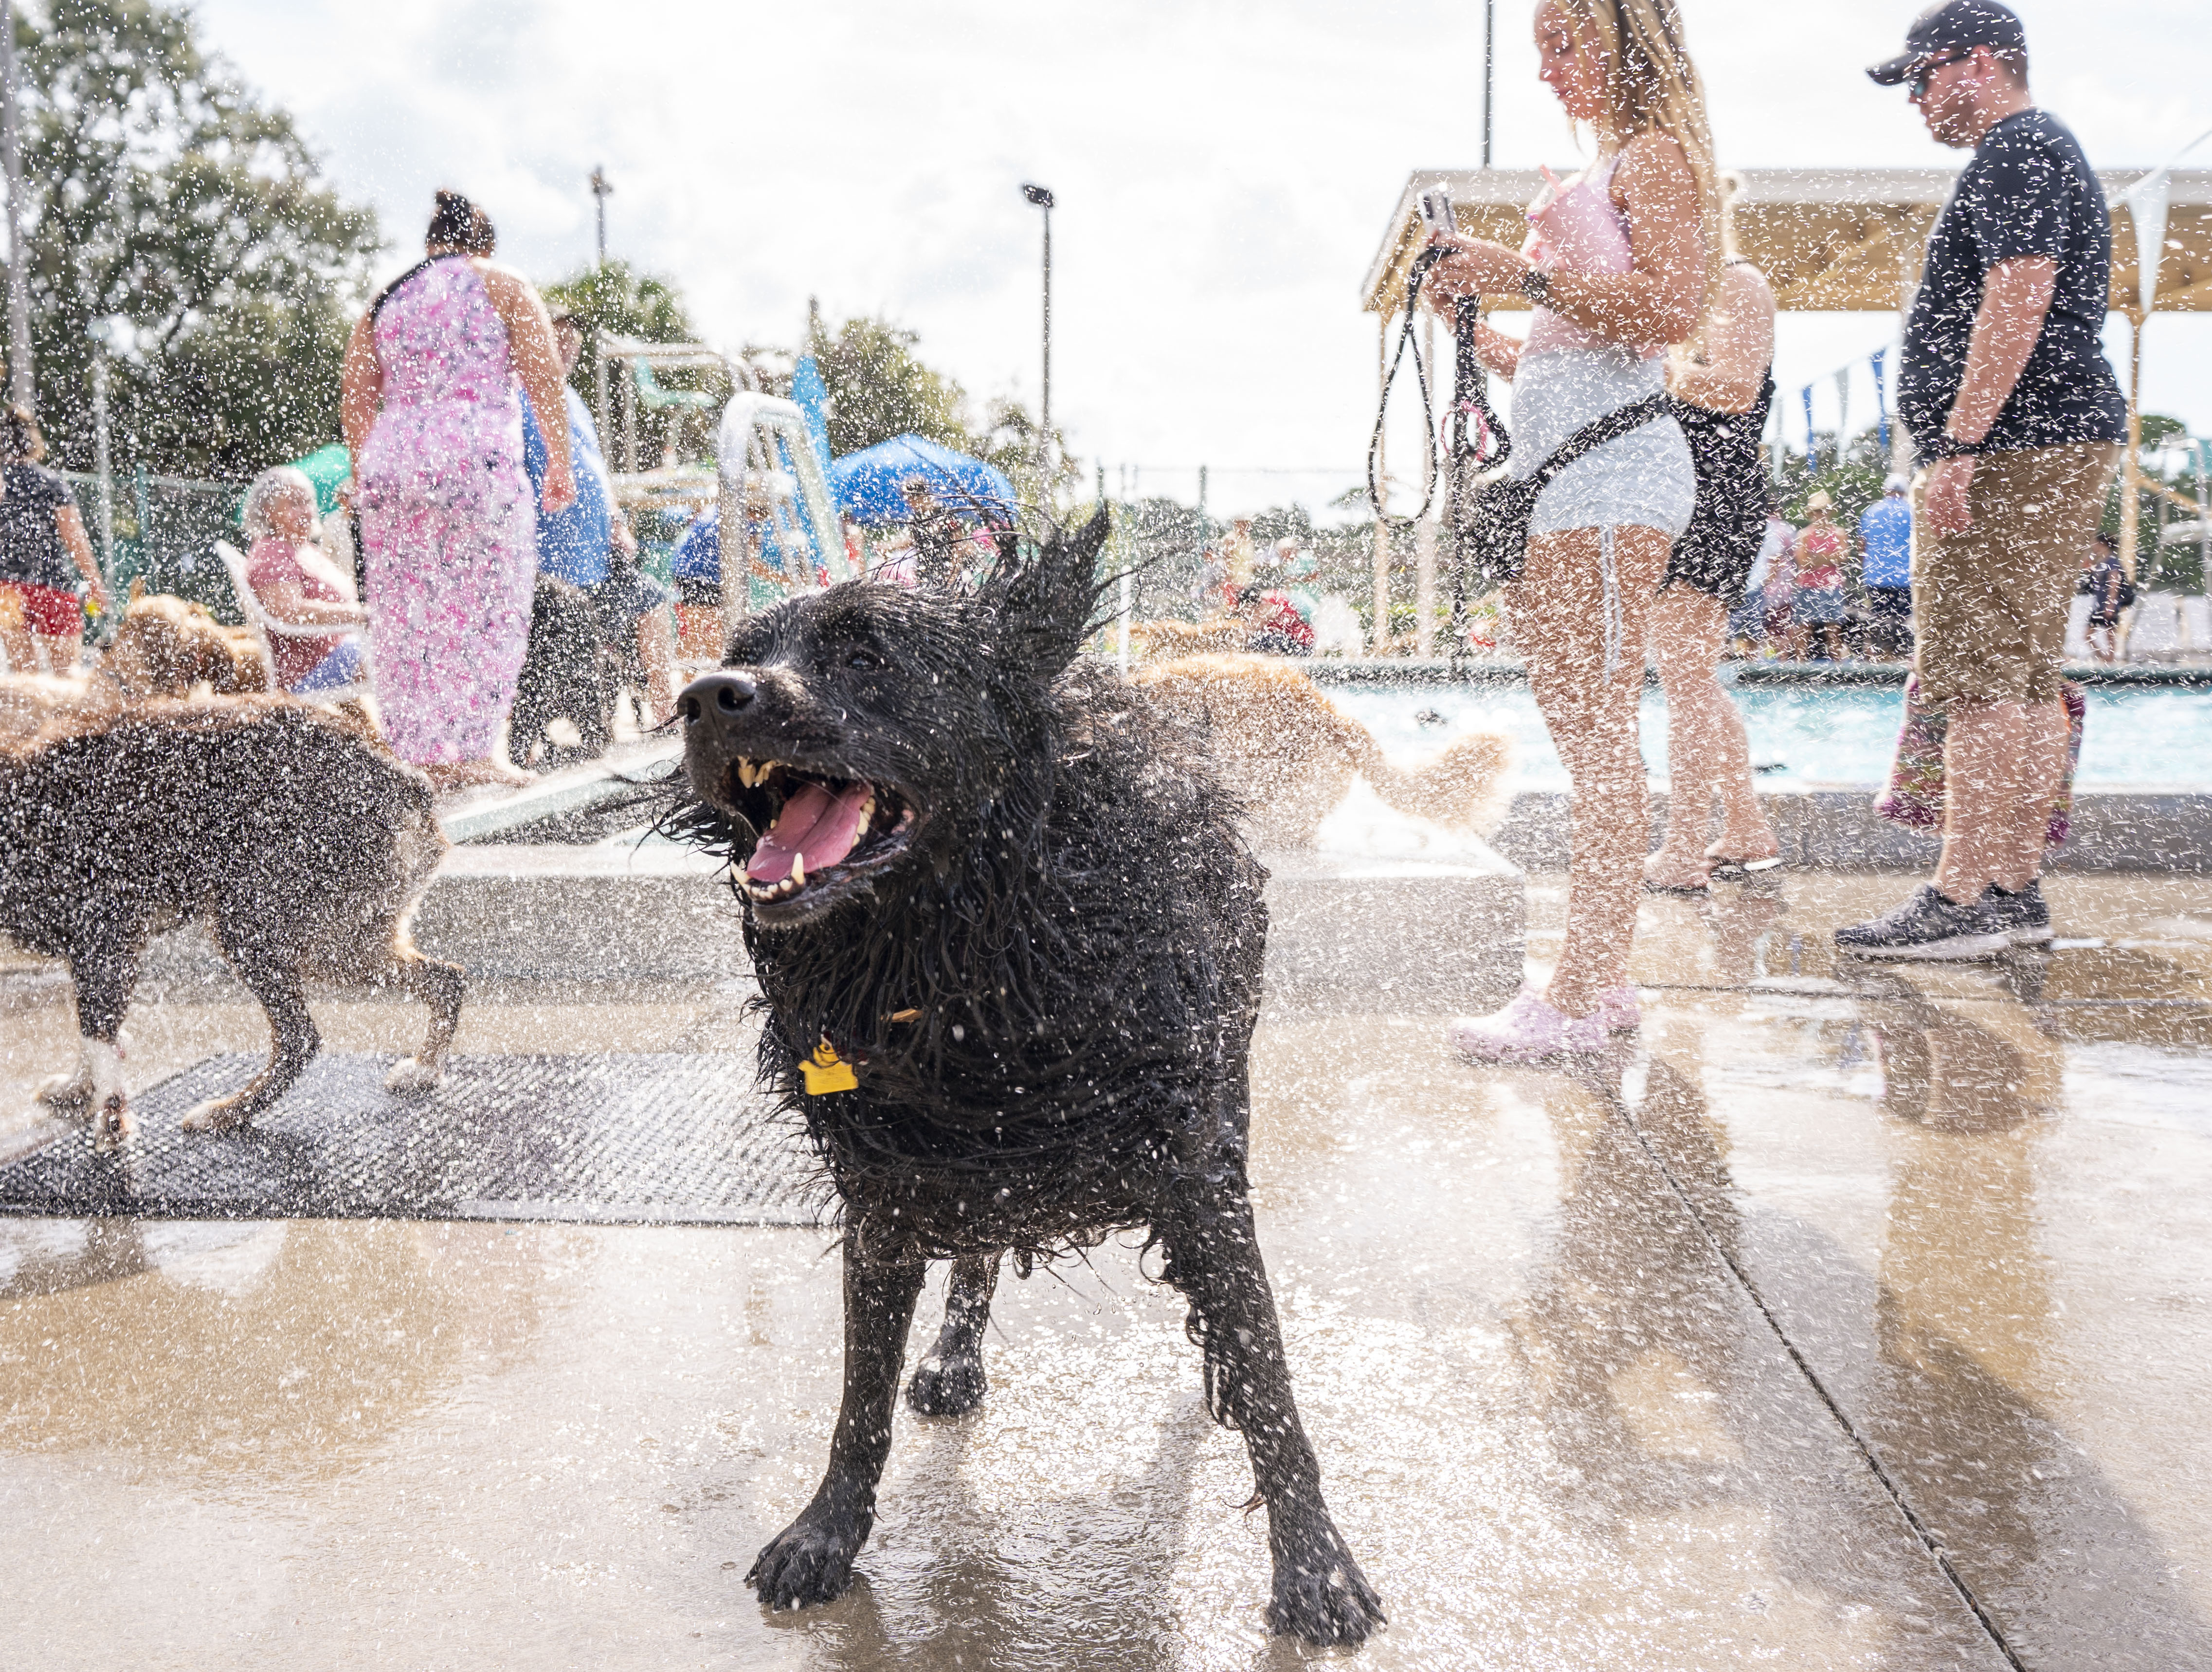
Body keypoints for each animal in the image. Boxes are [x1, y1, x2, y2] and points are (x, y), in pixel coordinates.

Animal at [677, 513, 1380, 1645]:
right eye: (746, 647)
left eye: (867, 655)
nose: (705, 695)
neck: (973, 959)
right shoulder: (888, 1190)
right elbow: (858, 1399)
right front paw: (826, 1531)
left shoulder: (1198, 1175)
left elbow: (1268, 1378)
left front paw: (1316, 1564)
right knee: (973, 1251)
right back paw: (956, 1356)